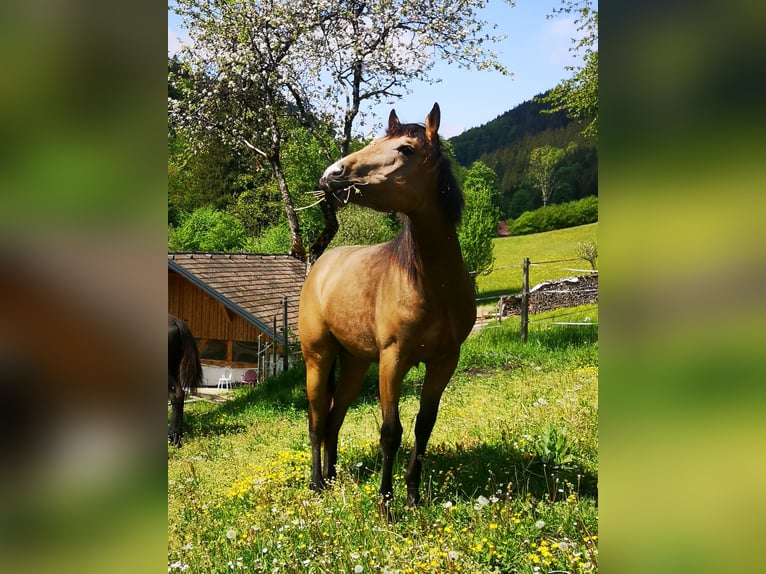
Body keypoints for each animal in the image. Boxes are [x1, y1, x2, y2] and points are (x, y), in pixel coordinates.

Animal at [299, 103, 476, 512]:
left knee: (334, 417)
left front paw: (412, 494)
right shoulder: (393, 360)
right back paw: (317, 483)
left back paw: (333, 477)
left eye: (406, 149)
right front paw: (386, 503)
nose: (332, 175)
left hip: (354, 363)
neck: (432, 284)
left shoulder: (445, 361)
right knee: (316, 419)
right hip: (318, 358)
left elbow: (424, 425)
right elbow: (391, 431)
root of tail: (320, 267)